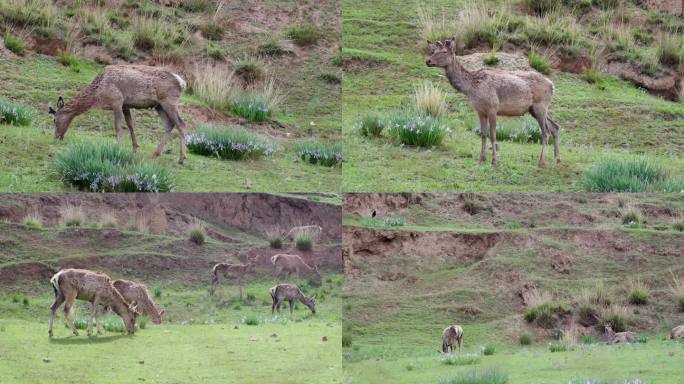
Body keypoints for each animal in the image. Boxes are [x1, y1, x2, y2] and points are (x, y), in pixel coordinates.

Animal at [47, 62, 190, 164]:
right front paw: (135, 147)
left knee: (181, 124)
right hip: (159, 105)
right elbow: (130, 125)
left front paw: (117, 147)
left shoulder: (117, 101)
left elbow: (117, 126)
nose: (56, 137)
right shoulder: (125, 105)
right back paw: (156, 153)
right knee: (169, 124)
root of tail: (182, 83)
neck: (98, 94)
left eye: (54, 120)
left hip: (169, 101)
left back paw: (181, 158)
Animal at [428, 36, 560, 167]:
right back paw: (557, 159)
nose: (428, 61)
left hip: (540, 106)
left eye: (444, 52)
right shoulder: (480, 111)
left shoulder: (493, 107)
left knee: (545, 133)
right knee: (555, 127)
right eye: (433, 51)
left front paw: (494, 161)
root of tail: (552, 85)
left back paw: (541, 161)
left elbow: (492, 135)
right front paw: (481, 159)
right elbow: (483, 134)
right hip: (534, 109)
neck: (471, 88)